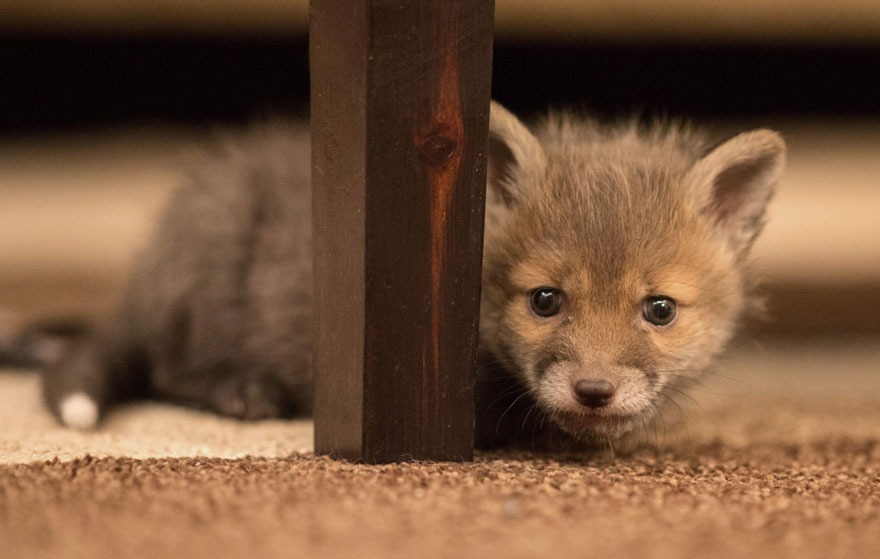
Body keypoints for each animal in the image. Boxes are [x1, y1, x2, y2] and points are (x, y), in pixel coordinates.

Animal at [24, 101, 785, 448]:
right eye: (545, 300)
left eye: (660, 309)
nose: (593, 391)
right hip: (212, 257)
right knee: (168, 369)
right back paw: (243, 391)